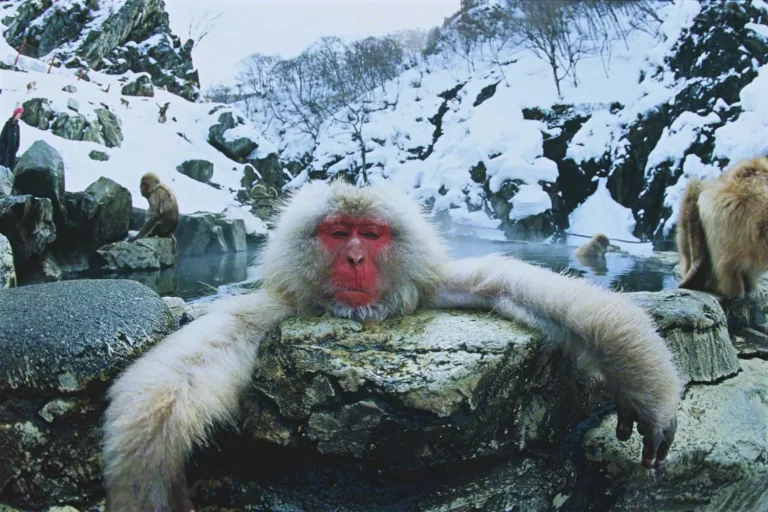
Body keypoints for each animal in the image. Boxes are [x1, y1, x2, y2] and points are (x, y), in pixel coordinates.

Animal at [101, 181, 682, 511]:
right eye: (339, 233)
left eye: (373, 234)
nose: (357, 259)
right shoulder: (276, 309)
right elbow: (185, 369)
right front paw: (147, 482)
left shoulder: (431, 285)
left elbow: (521, 290)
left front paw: (641, 386)